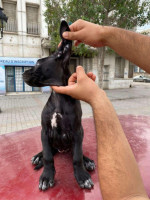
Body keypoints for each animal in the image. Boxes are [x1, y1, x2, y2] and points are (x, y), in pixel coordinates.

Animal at [22, 20, 95, 191]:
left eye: (37, 63)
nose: (22, 73)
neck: (58, 96)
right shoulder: (44, 131)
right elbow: (48, 157)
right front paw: (46, 176)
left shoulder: (77, 132)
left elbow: (77, 157)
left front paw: (82, 176)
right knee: (47, 152)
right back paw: (38, 157)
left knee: (78, 152)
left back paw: (87, 161)